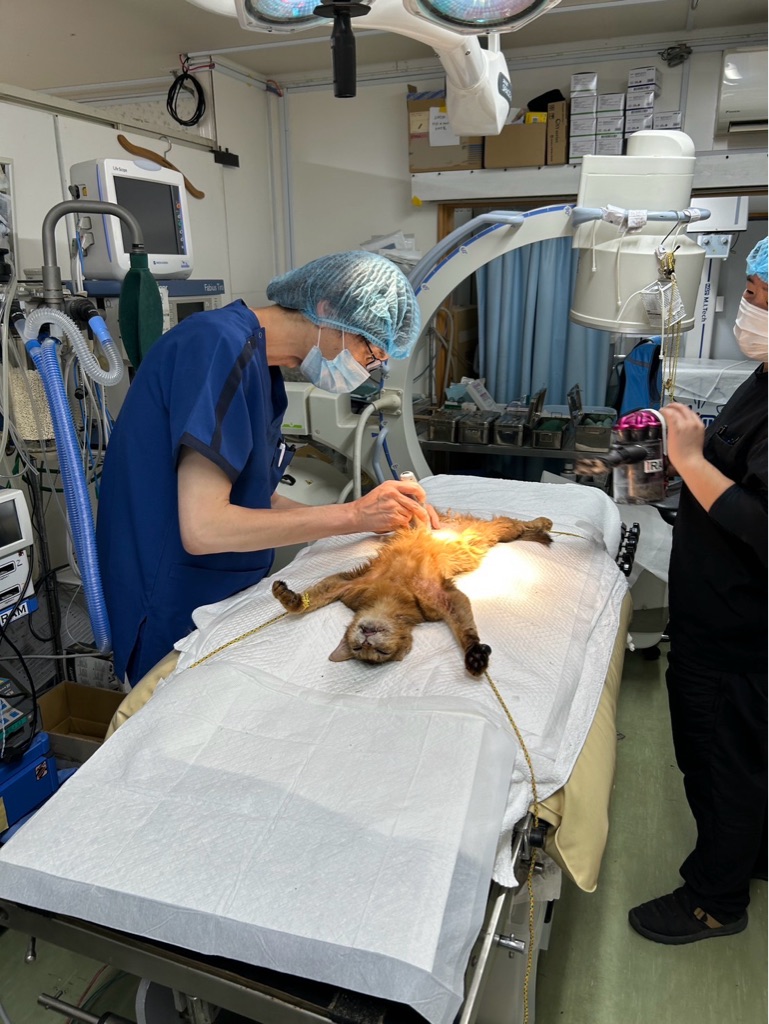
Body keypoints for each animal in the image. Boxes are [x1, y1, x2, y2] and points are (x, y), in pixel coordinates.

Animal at [272, 512, 553, 676]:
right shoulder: (348, 585)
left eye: (381, 652)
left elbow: (465, 631)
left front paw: (474, 655)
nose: (367, 638)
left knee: (516, 524)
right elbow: (314, 598)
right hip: (489, 530)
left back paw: (544, 522)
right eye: (359, 648)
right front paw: (293, 600)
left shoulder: (443, 598)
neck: (392, 595)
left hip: (495, 530)